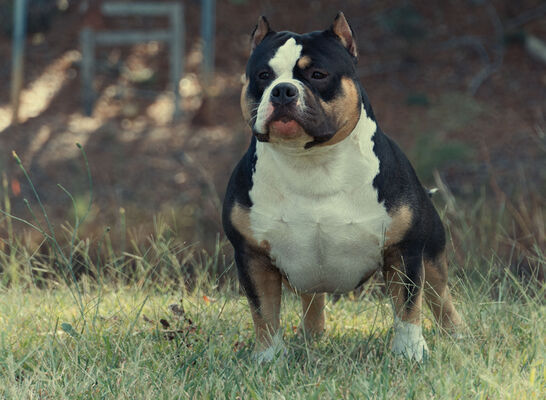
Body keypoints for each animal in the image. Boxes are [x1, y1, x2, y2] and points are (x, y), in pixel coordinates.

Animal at [221, 12, 460, 362]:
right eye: (263, 76)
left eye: (318, 75)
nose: (282, 91)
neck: (310, 161)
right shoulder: (253, 257)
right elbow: (263, 311)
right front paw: (268, 357)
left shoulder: (404, 251)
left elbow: (407, 307)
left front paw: (410, 352)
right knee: (312, 300)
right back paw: (311, 338)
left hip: (432, 255)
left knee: (440, 298)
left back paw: (458, 336)